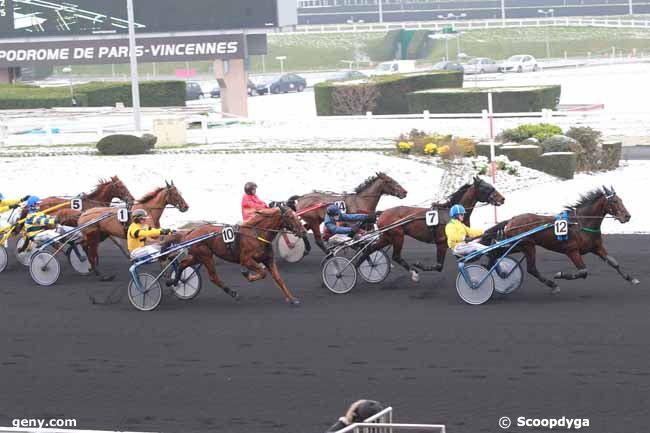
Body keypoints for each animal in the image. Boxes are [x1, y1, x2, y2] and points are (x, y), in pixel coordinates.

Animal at [171, 205, 306, 304]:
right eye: (290, 216)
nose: (304, 231)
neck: (257, 234)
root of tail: (190, 232)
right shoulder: (246, 260)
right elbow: (262, 273)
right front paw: (247, 274)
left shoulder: (269, 260)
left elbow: (278, 279)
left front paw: (292, 299)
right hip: (206, 255)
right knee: (213, 277)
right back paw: (232, 292)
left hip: (197, 256)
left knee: (183, 263)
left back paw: (176, 281)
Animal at [364, 177, 502, 282]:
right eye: (487, 188)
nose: (502, 199)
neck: (452, 214)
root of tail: (383, 213)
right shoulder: (441, 242)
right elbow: (439, 266)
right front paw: (419, 265)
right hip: (397, 236)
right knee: (396, 256)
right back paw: (414, 273)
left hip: (387, 237)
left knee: (369, 250)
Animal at [484, 186, 636, 294]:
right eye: (614, 201)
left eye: (621, 200)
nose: (627, 216)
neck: (582, 223)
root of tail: (512, 219)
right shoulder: (572, 251)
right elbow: (583, 272)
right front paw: (559, 274)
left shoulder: (596, 247)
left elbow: (614, 262)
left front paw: (631, 279)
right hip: (526, 246)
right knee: (531, 268)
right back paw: (553, 285)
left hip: (518, 245)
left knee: (496, 254)